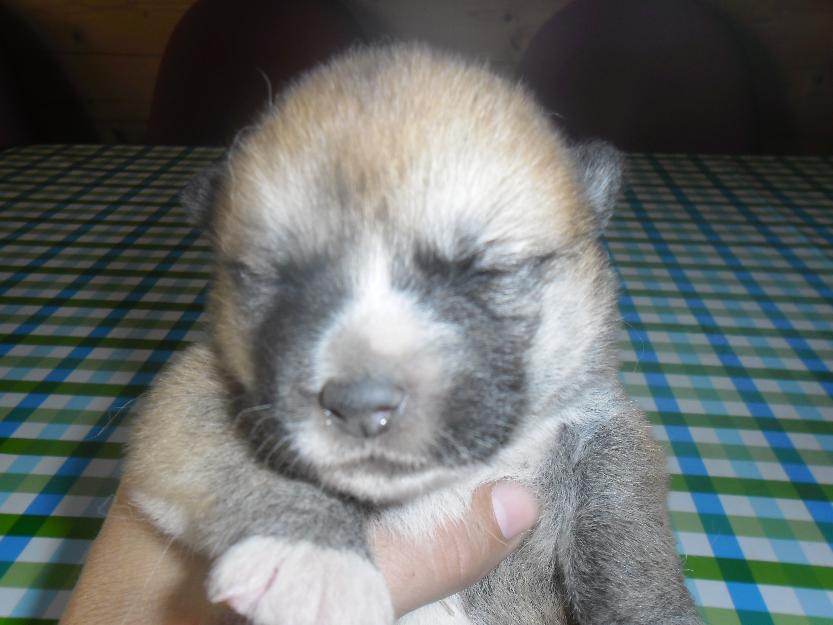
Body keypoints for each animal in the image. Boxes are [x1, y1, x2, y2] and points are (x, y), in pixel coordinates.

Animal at [125, 45, 704, 624]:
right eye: (275, 277)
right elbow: (237, 458)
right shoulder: (190, 396)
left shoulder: (601, 425)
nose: (360, 405)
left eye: (482, 271)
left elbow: (625, 528)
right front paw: (315, 560)